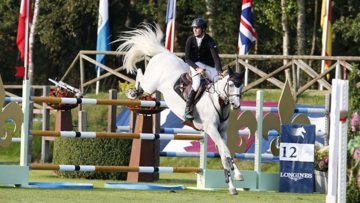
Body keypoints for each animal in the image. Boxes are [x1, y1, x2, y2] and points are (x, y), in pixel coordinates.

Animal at [116, 23, 246, 195]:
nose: (236, 105)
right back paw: (132, 92)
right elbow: (226, 151)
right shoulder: (211, 129)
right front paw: (237, 175)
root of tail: (165, 54)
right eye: (230, 85)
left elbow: (224, 154)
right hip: (150, 84)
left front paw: (232, 185)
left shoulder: (221, 131)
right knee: (140, 75)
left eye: (241, 86)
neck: (217, 101)